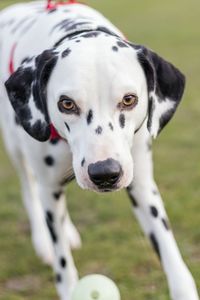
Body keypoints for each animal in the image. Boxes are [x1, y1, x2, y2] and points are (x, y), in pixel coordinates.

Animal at [0, 0, 198, 298]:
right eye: (66, 103)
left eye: (129, 99)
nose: (105, 173)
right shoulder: (49, 186)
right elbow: (63, 262)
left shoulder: (142, 185)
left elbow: (169, 252)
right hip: (17, 148)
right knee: (29, 189)